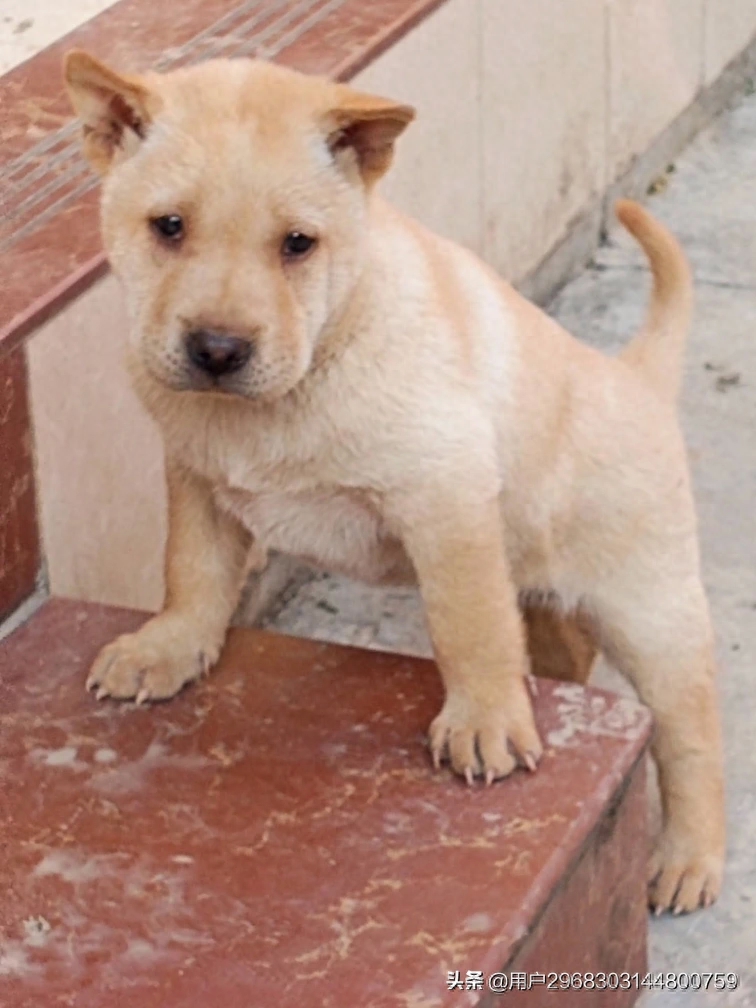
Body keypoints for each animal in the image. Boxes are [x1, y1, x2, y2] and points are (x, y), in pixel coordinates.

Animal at [65, 49, 729, 915]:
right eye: (168, 227)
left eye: (298, 244)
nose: (217, 350)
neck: (319, 356)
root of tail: (638, 379)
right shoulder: (198, 477)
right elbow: (191, 571)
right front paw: (167, 648)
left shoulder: (445, 497)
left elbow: (467, 622)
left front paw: (485, 719)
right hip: (550, 592)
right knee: (563, 642)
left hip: (653, 612)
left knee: (691, 737)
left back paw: (690, 858)